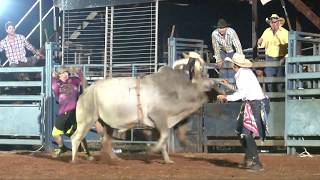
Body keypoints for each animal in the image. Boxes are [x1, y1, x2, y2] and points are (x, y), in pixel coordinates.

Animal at [71, 65, 219, 165]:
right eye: (203, 76)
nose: (215, 82)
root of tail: (86, 90)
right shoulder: (159, 117)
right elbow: (164, 137)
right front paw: (153, 150)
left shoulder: (158, 125)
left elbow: (163, 140)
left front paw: (167, 160)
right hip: (87, 119)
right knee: (76, 137)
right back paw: (74, 160)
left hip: (107, 124)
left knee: (105, 141)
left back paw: (115, 159)